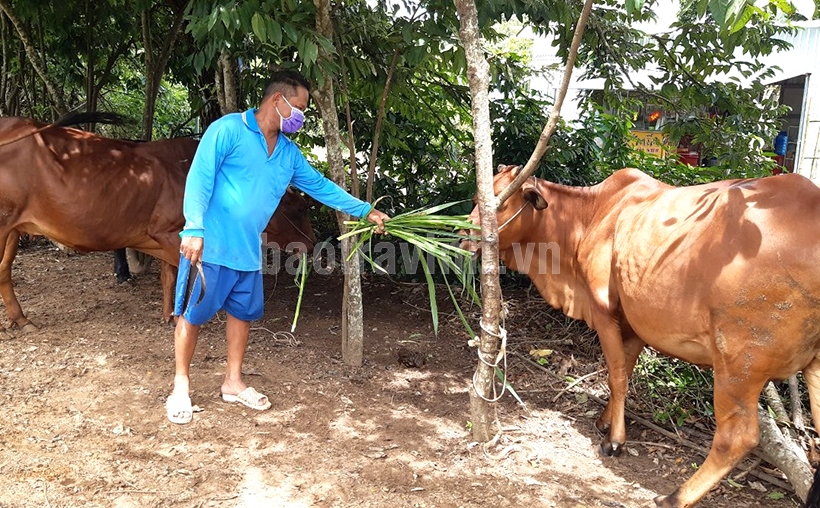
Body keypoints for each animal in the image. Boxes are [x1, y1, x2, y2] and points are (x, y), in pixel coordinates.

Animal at [0, 114, 316, 334]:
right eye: (299, 209)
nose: (312, 244)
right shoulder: (168, 232)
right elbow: (187, 275)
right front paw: (185, 313)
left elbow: (169, 276)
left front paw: (168, 314)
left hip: (13, 227)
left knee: (4, 269)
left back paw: (21, 318)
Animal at [462, 165, 820, 508]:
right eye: (478, 197)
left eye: (499, 202)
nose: (463, 235)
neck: (589, 215)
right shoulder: (634, 324)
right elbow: (626, 370)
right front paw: (606, 421)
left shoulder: (603, 311)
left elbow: (617, 375)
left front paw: (615, 440)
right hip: (811, 366)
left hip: (738, 361)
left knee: (738, 435)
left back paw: (675, 496)